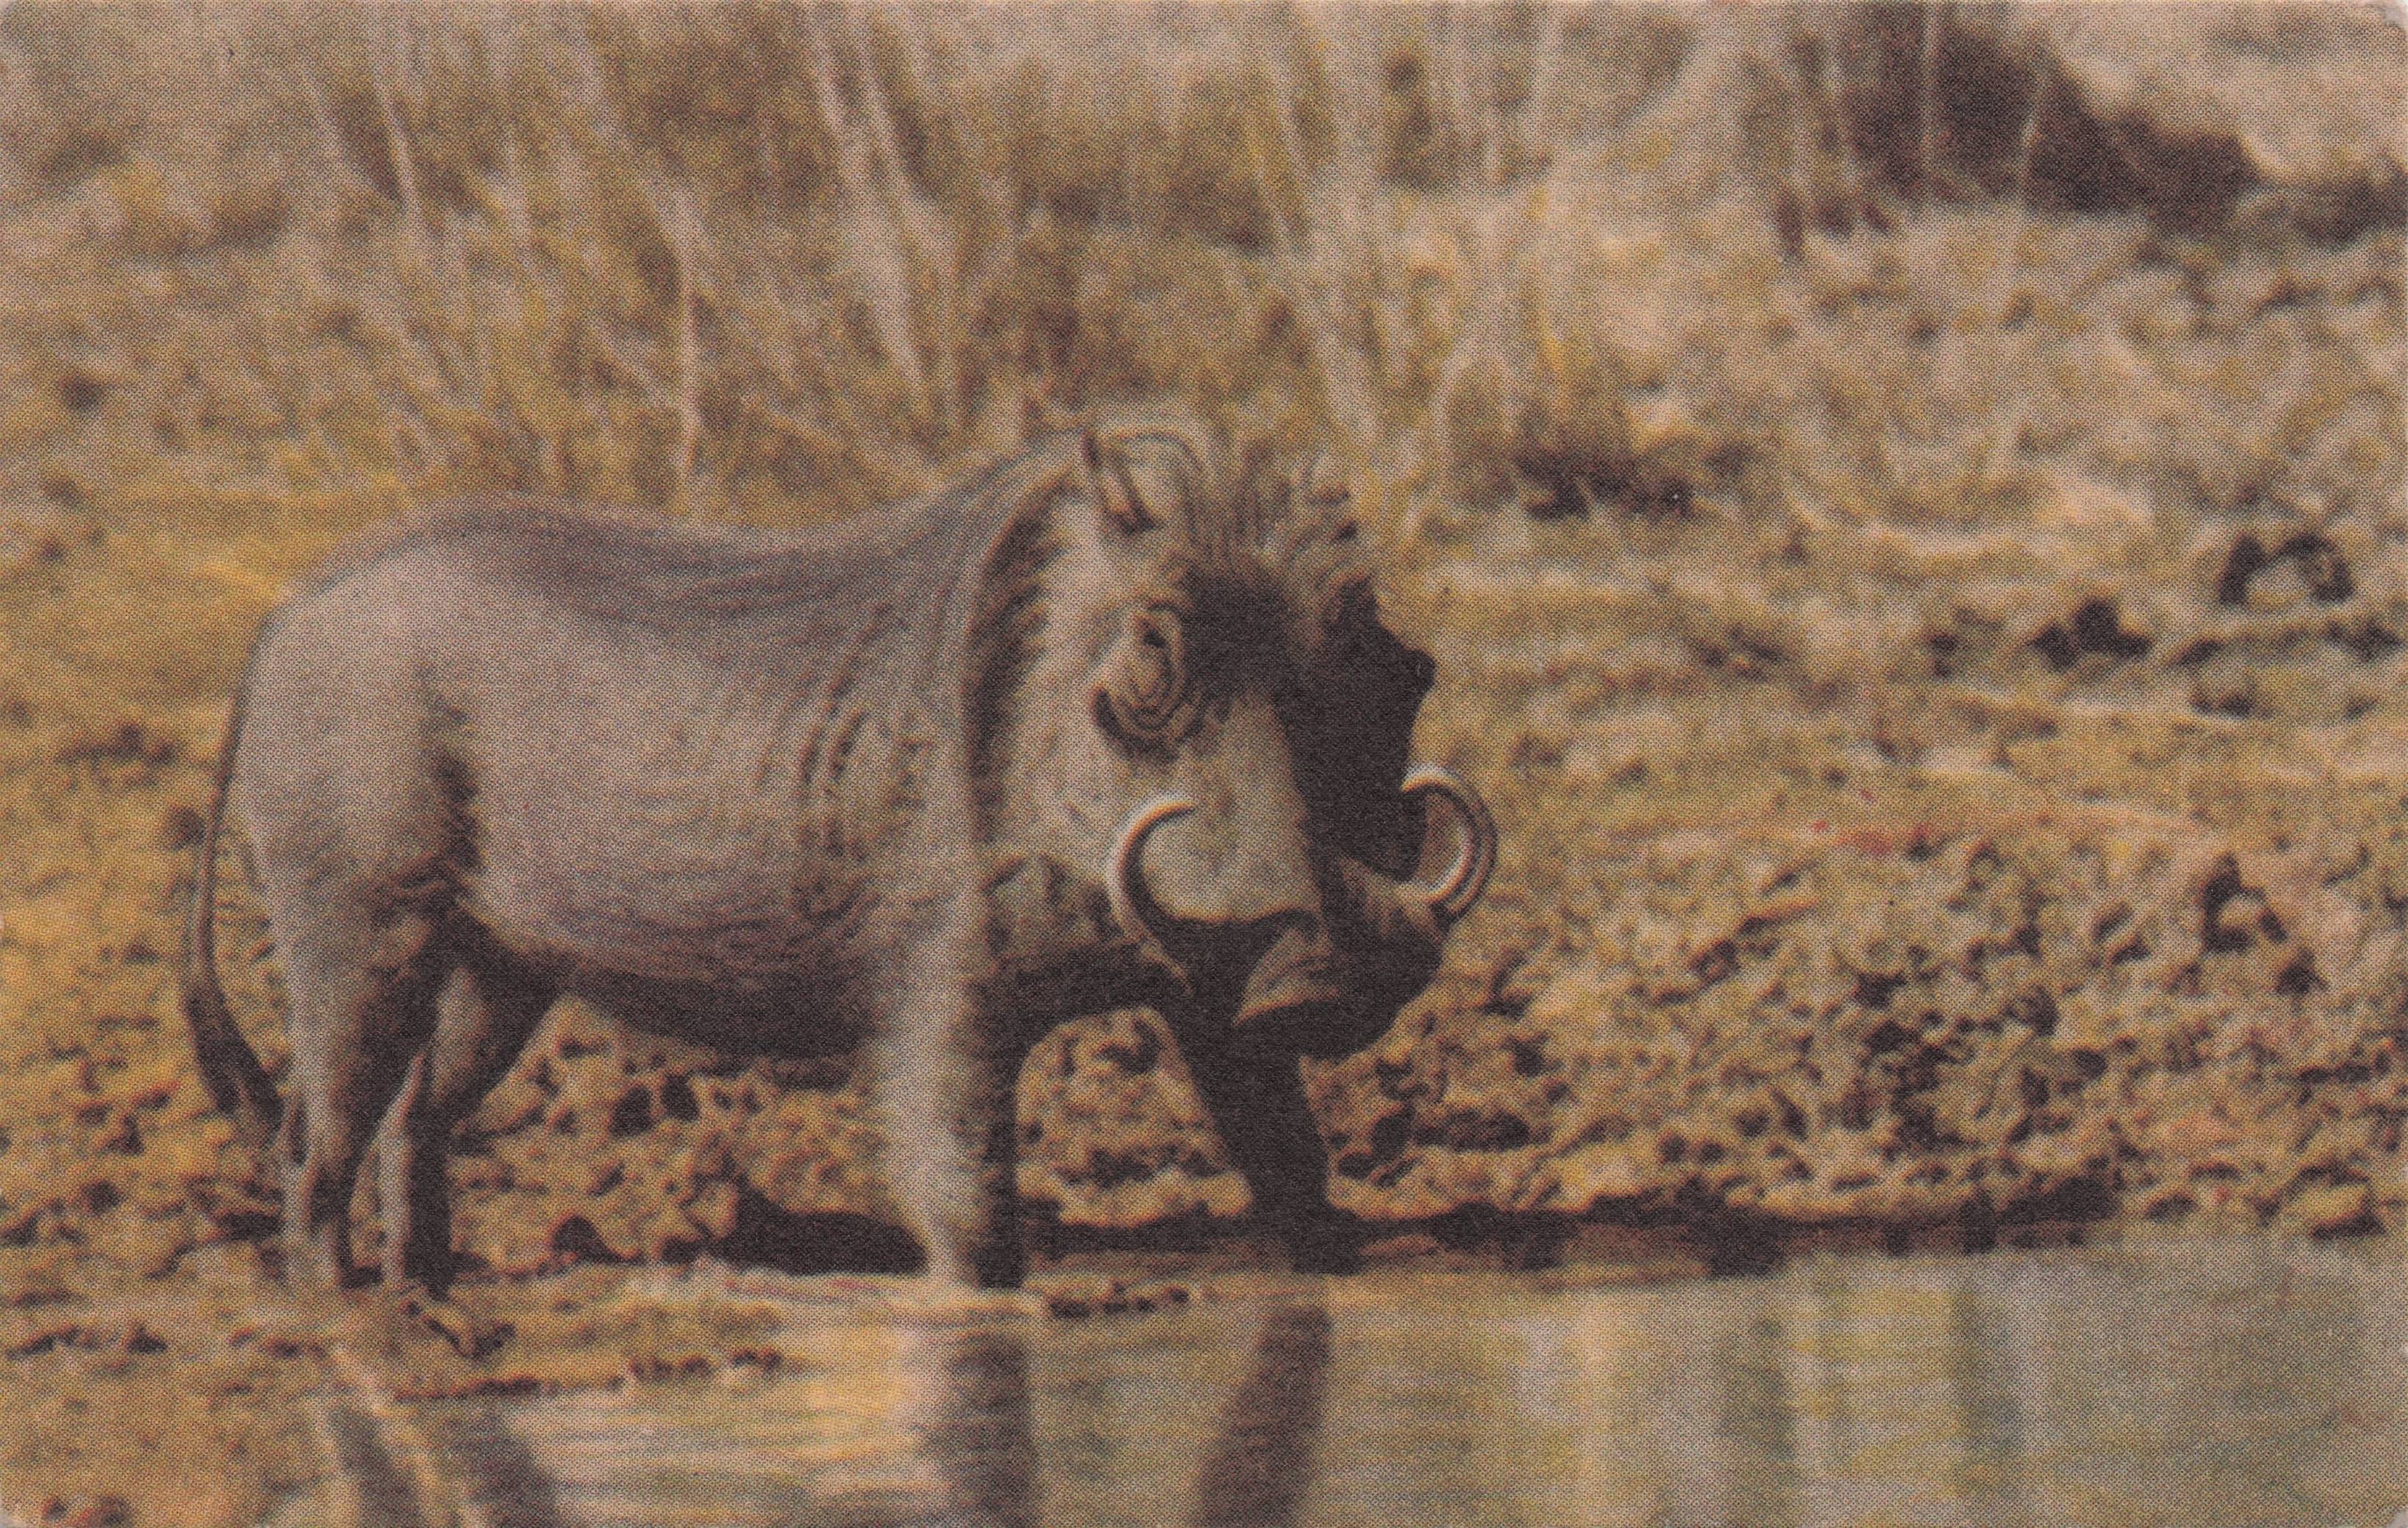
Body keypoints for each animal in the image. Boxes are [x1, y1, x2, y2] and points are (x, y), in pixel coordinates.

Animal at [180, 419, 1495, 1292]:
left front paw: (1336, 1262)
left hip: (499, 971)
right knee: (314, 1143)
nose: (1327, 972)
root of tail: (292, 606)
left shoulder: (1219, 996)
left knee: (413, 1121)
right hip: (356, 939)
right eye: (1154, 661)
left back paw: (429, 1289)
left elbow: (1292, 1168)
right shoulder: (942, 1001)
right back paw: (346, 1313)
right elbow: (969, 1213)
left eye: (1384, 655)